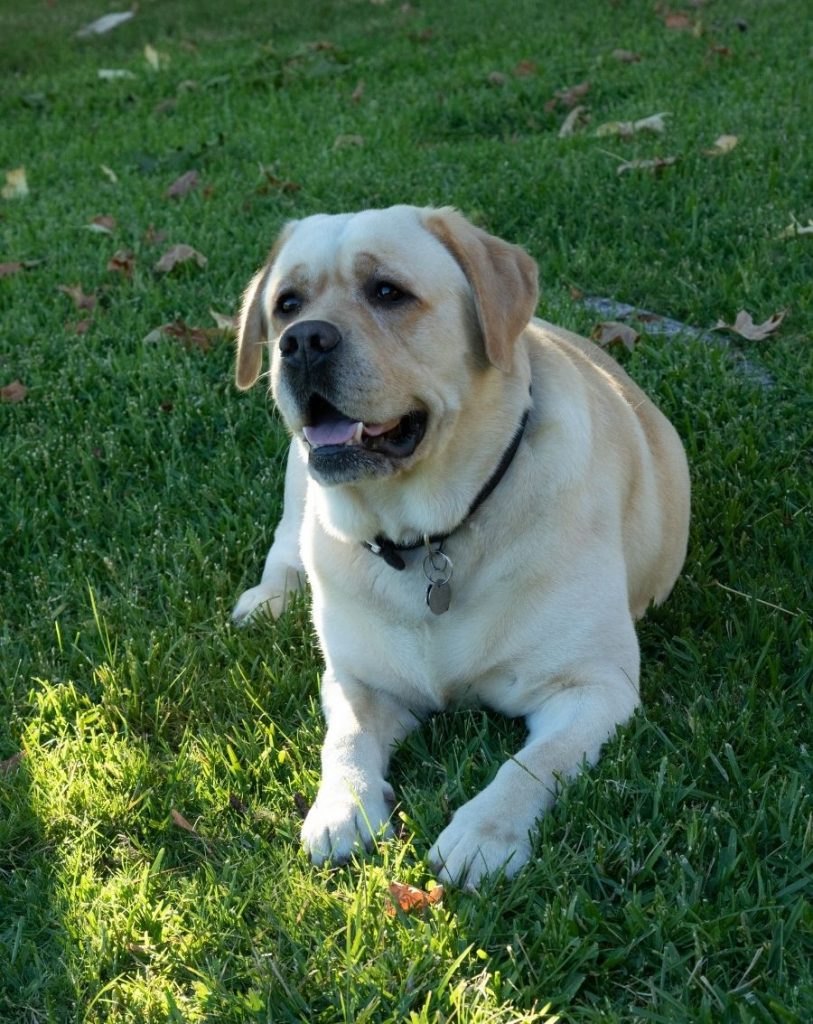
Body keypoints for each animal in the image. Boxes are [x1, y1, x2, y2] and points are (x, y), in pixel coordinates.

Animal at [231, 203, 688, 884]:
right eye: (287, 303)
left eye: (387, 292)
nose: (302, 341)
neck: (426, 536)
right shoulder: (357, 680)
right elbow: (345, 740)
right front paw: (341, 809)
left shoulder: (592, 688)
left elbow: (533, 763)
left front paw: (483, 832)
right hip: (298, 475)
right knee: (288, 545)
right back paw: (268, 599)